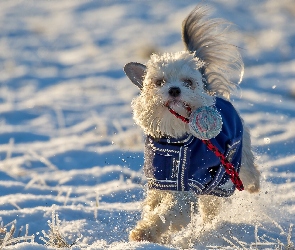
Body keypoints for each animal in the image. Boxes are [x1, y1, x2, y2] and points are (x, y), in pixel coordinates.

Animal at [123, 6, 260, 244]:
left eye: (188, 82)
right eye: (159, 82)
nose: (174, 90)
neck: (174, 141)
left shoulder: (187, 188)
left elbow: (168, 213)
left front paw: (144, 233)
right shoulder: (161, 183)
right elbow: (154, 206)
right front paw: (149, 232)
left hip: (232, 162)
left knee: (247, 171)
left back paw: (252, 187)